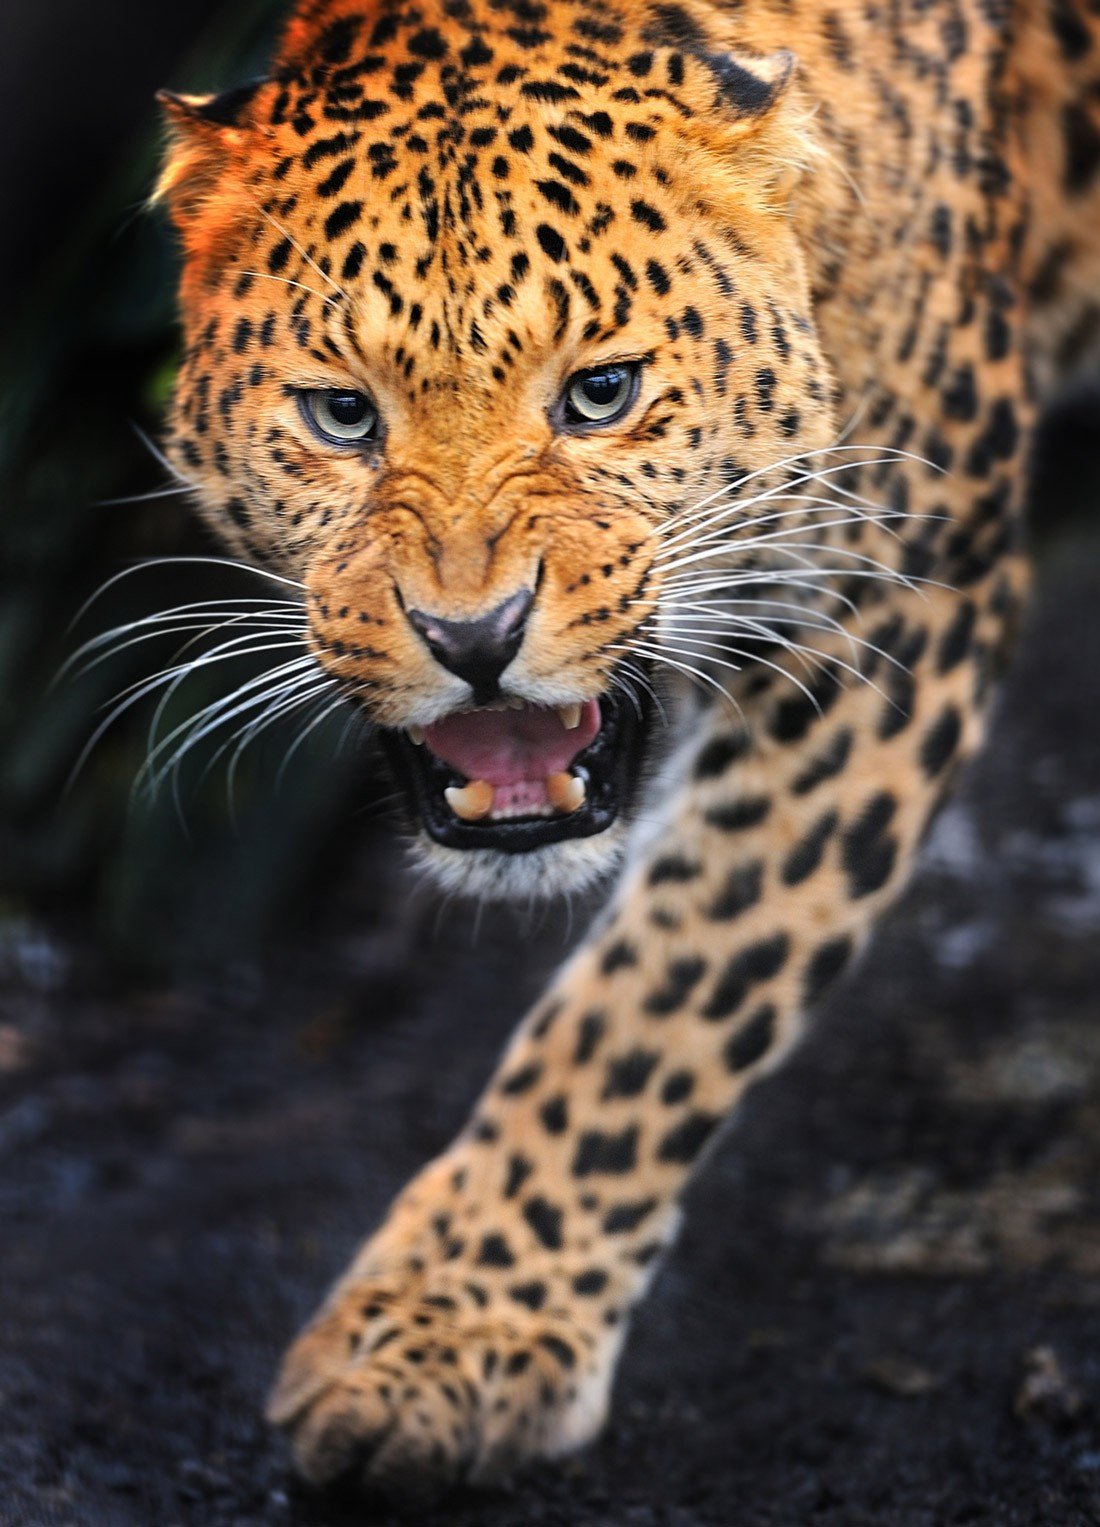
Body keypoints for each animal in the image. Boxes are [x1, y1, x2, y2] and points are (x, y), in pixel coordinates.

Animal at [152, 0, 1100, 1501]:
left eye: (599, 395)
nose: (472, 633)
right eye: (343, 415)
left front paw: (459, 1329)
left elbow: (657, 1005)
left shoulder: (898, 610)